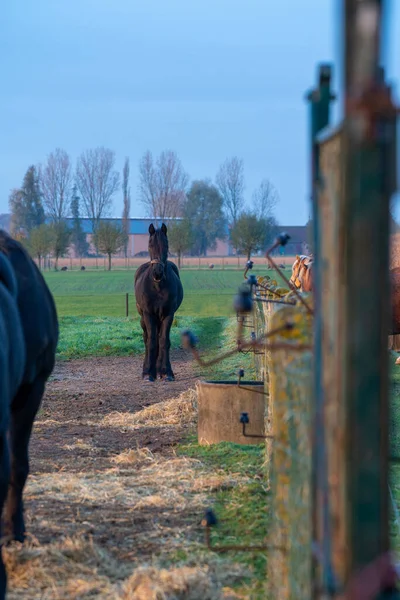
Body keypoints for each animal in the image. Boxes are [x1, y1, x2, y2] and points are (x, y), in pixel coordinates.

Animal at [134, 223, 184, 382]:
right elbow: (151, 342)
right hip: (143, 318)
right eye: (150, 245)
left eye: (166, 245)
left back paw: (158, 370)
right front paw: (147, 373)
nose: (157, 273)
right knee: (147, 339)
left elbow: (164, 341)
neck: (157, 286)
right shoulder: (149, 314)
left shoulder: (168, 314)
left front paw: (166, 372)